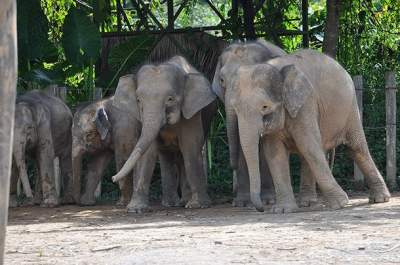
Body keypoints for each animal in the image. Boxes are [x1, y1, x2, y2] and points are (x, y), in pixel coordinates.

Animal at [109, 55, 217, 212]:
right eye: (138, 100)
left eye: (170, 99)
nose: (112, 178)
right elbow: (147, 152)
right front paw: (135, 209)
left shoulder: (191, 113)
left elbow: (190, 147)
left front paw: (198, 205)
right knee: (167, 157)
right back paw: (171, 203)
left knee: (183, 154)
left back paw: (184, 202)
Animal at [230, 48, 390, 211]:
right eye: (235, 108)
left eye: (265, 107)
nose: (261, 208)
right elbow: (275, 153)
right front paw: (283, 210)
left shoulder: (306, 103)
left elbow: (309, 145)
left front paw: (341, 204)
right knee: (308, 153)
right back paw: (308, 203)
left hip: (351, 108)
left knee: (355, 148)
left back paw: (379, 199)